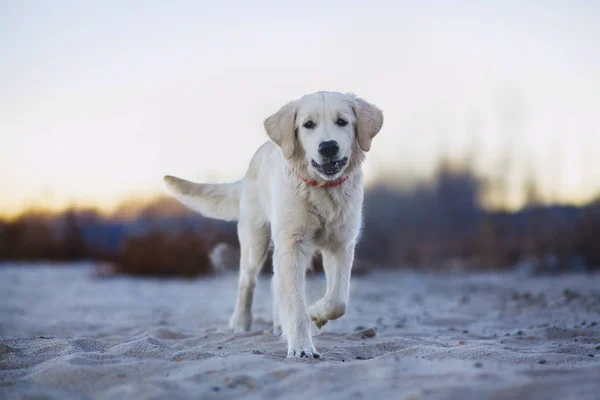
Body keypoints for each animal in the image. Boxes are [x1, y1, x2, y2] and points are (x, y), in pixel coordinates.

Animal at [163, 91, 384, 360]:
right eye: (308, 124)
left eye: (342, 121)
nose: (328, 147)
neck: (322, 189)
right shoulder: (291, 243)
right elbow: (296, 305)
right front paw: (301, 347)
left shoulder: (341, 244)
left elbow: (338, 301)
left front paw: (316, 314)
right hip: (255, 240)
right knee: (247, 281)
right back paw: (241, 322)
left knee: (277, 284)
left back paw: (281, 325)